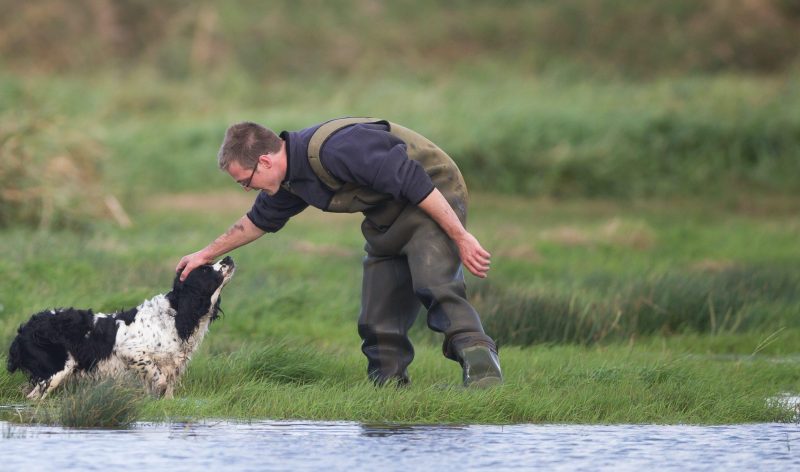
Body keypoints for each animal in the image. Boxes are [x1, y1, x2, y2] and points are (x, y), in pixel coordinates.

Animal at [7, 256, 238, 400]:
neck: (174, 316)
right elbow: (159, 378)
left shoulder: (174, 365)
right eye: (206, 269)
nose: (228, 258)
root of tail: (24, 331)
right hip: (56, 370)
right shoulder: (132, 352)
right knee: (33, 398)